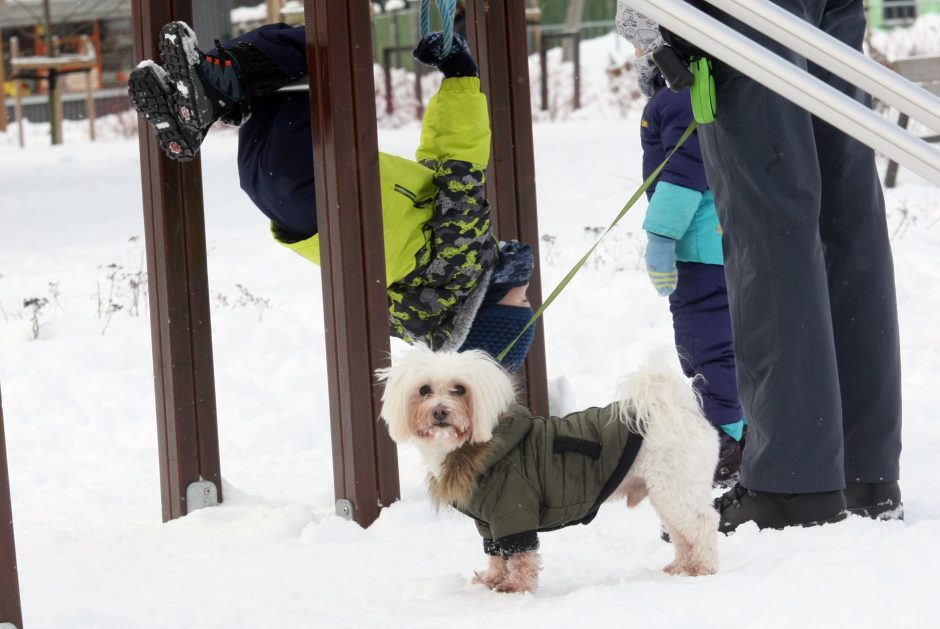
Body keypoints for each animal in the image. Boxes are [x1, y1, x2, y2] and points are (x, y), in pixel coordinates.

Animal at [374, 346, 720, 592]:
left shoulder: (514, 509)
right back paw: (681, 567)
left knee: (703, 523)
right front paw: (493, 578)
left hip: (675, 486)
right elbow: (495, 553)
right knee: (681, 532)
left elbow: (520, 555)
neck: (476, 447)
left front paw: (517, 586)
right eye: (424, 390)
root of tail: (676, 407)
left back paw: (704, 568)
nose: (440, 412)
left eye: (459, 389)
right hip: (667, 492)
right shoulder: (488, 523)